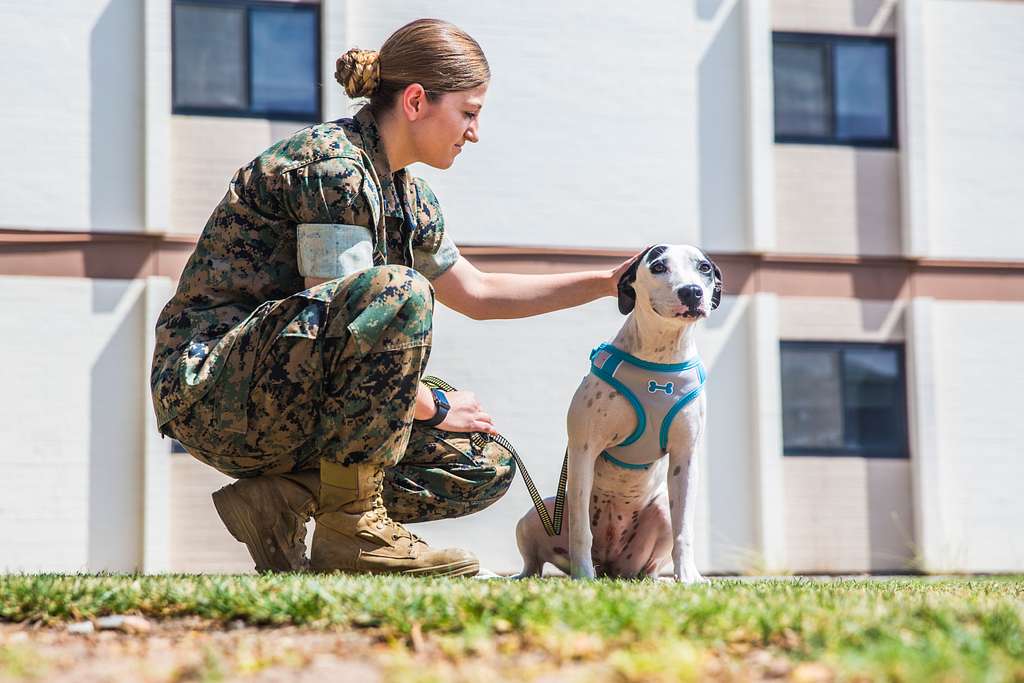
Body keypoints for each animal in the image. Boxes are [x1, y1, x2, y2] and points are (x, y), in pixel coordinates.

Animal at [512, 244, 720, 581]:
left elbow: (684, 530)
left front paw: (689, 576)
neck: (661, 353)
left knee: (650, 563)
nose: (692, 291)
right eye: (659, 266)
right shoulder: (584, 450)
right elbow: (581, 529)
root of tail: (610, 564)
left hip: (659, 515)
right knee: (534, 563)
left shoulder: (685, 457)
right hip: (535, 516)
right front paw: (583, 576)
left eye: (704, 267)